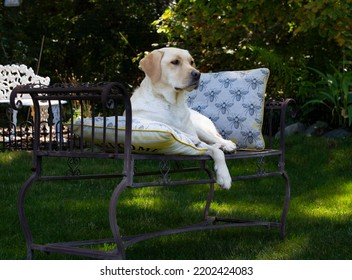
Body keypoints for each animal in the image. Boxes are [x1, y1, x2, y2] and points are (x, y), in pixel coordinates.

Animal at [131, 47, 236, 189]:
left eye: (191, 62)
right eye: (175, 62)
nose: (197, 74)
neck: (172, 103)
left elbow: (217, 153)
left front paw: (224, 176)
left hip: (200, 128)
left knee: (217, 138)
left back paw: (227, 145)